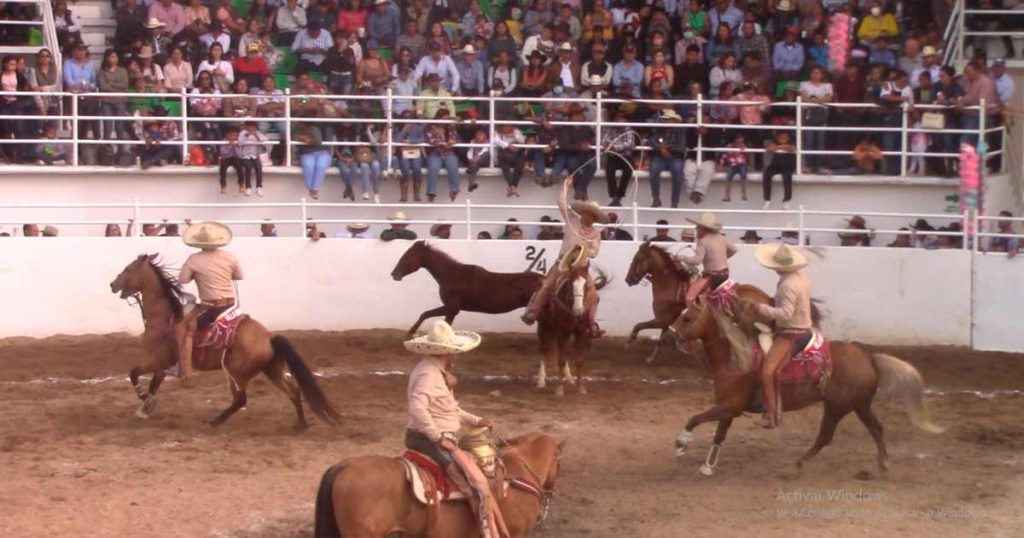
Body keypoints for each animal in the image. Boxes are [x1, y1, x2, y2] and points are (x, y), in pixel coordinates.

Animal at [110, 254, 344, 430]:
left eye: (128, 268)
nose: (112, 284)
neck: (165, 316)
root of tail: (268, 337)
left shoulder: (158, 359)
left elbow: (134, 373)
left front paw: (142, 399)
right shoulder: (164, 363)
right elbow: (154, 384)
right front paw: (145, 407)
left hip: (236, 373)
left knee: (240, 400)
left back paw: (213, 423)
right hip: (271, 369)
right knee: (294, 391)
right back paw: (300, 425)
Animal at [389, 239, 544, 336]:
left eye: (407, 256)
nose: (394, 274)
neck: (452, 275)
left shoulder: (452, 308)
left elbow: (428, 315)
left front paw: (410, 332)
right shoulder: (451, 309)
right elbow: (429, 316)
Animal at [671, 282, 942, 475]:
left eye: (687, 317)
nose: (673, 338)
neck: (736, 354)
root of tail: (869, 358)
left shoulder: (730, 406)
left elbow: (695, 419)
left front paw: (682, 443)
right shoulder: (729, 407)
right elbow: (719, 434)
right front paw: (708, 465)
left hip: (837, 406)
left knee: (826, 436)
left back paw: (800, 463)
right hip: (859, 405)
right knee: (875, 428)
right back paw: (883, 464)